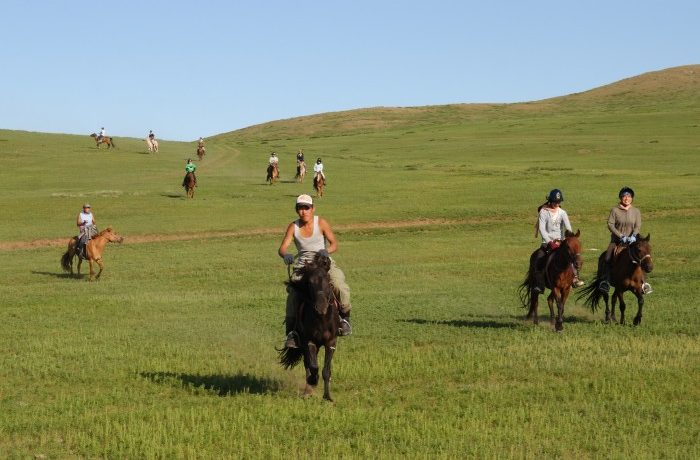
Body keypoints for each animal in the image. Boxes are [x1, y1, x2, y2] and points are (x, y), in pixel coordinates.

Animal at [278, 253, 340, 400]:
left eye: (328, 281)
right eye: (310, 283)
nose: (321, 307)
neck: (322, 319)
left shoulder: (331, 342)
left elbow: (326, 370)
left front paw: (327, 397)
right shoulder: (309, 342)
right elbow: (313, 366)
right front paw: (313, 380)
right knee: (308, 364)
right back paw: (308, 390)